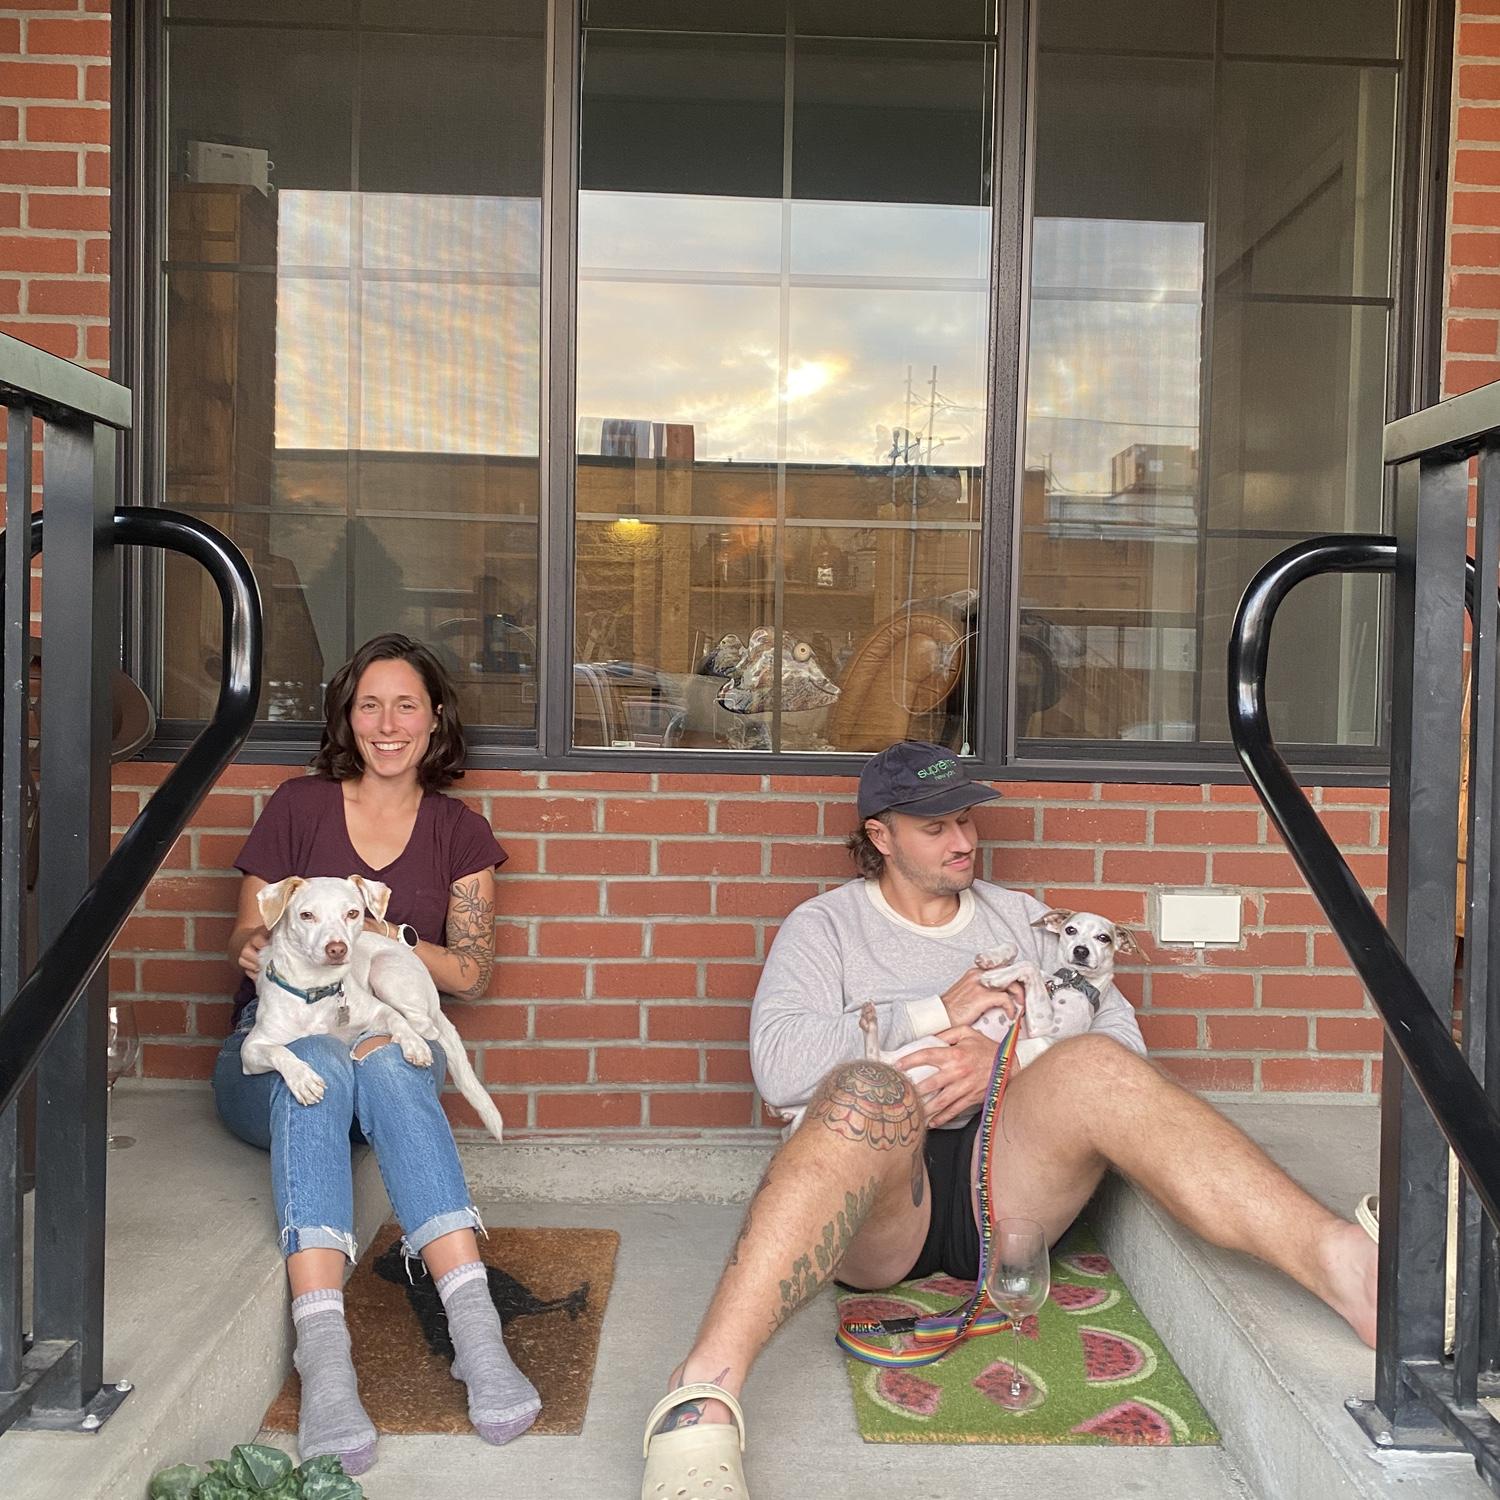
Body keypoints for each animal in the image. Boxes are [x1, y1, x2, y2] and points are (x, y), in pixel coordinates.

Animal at [240, 874, 506, 1142]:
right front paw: (302, 1078)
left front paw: (414, 1045)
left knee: (424, 1024)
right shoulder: (251, 1049)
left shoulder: (378, 1010)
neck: (315, 987)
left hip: (386, 970)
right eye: (306, 915)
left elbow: (396, 1019)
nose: (337, 949)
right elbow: (278, 1051)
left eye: (352, 913)